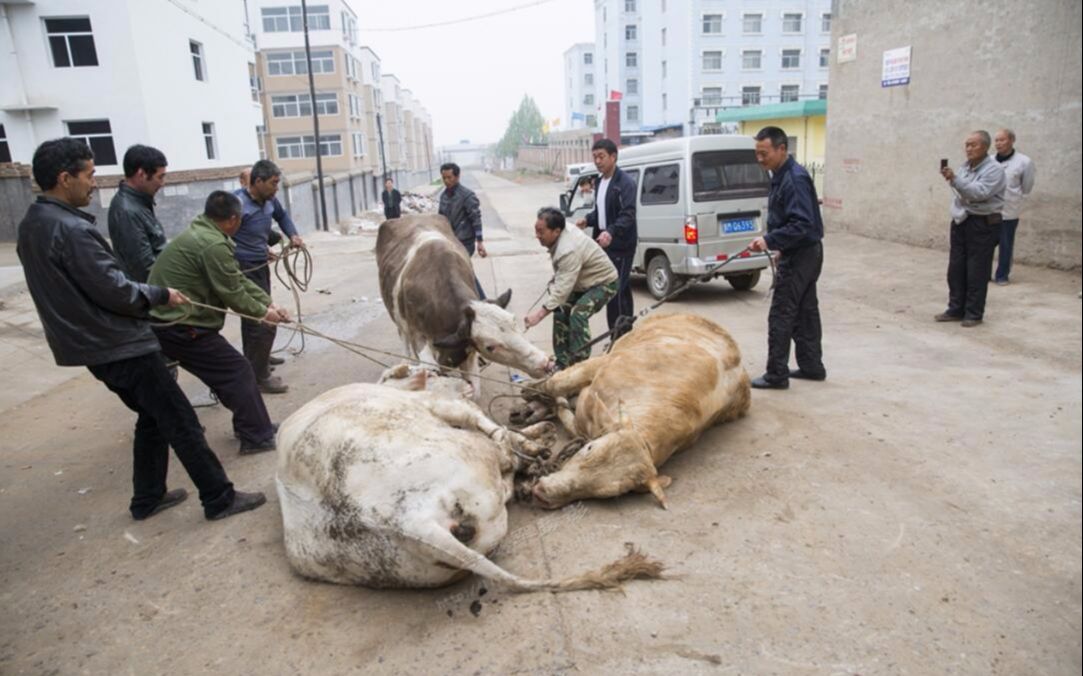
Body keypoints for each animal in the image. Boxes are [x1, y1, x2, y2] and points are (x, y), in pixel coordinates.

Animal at [275, 364, 662, 589]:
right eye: (435, 374)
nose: (461, 378)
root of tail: (407, 520)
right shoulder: (446, 406)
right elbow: (491, 426)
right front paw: (536, 437)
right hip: (472, 456)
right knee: (502, 455)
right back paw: (532, 458)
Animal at [379, 216, 550, 385]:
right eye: (490, 347)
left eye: (515, 323)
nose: (544, 363)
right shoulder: (417, 335)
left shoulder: (468, 354)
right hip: (399, 321)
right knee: (404, 341)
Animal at [517, 314, 753, 509]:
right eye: (589, 449)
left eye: (610, 493)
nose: (541, 494)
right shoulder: (602, 364)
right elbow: (556, 383)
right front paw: (532, 392)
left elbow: (565, 410)